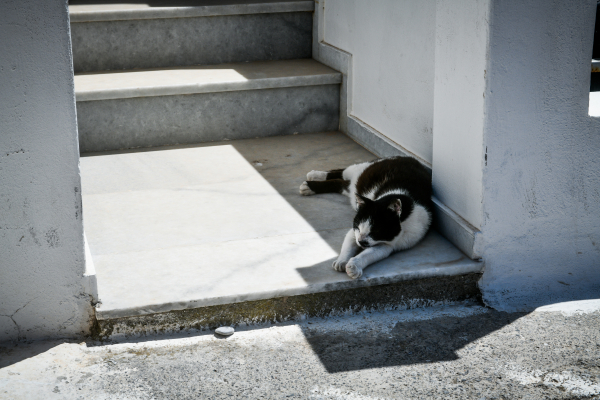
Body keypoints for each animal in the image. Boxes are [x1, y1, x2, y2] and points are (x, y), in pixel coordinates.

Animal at [298, 155, 432, 280]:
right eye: (358, 227)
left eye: (376, 230)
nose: (361, 241)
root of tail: (407, 157)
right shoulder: (354, 232)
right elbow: (348, 246)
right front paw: (341, 261)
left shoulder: (386, 245)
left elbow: (369, 254)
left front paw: (354, 265)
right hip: (361, 169)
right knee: (342, 172)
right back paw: (313, 178)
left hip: (352, 189)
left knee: (340, 183)